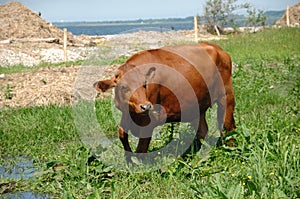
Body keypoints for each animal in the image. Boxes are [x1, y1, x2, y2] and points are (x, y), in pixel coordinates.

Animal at [95, 42, 236, 162]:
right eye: (123, 87)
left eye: (144, 84)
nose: (146, 106)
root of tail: (217, 49)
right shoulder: (127, 113)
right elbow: (122, 134)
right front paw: (129, 161)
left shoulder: (149, 121)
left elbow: (141, 149)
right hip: (197, 104)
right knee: (202, 130)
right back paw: (195, 154)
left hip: (226, 96)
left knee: (228, 126)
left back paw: (230, 150)